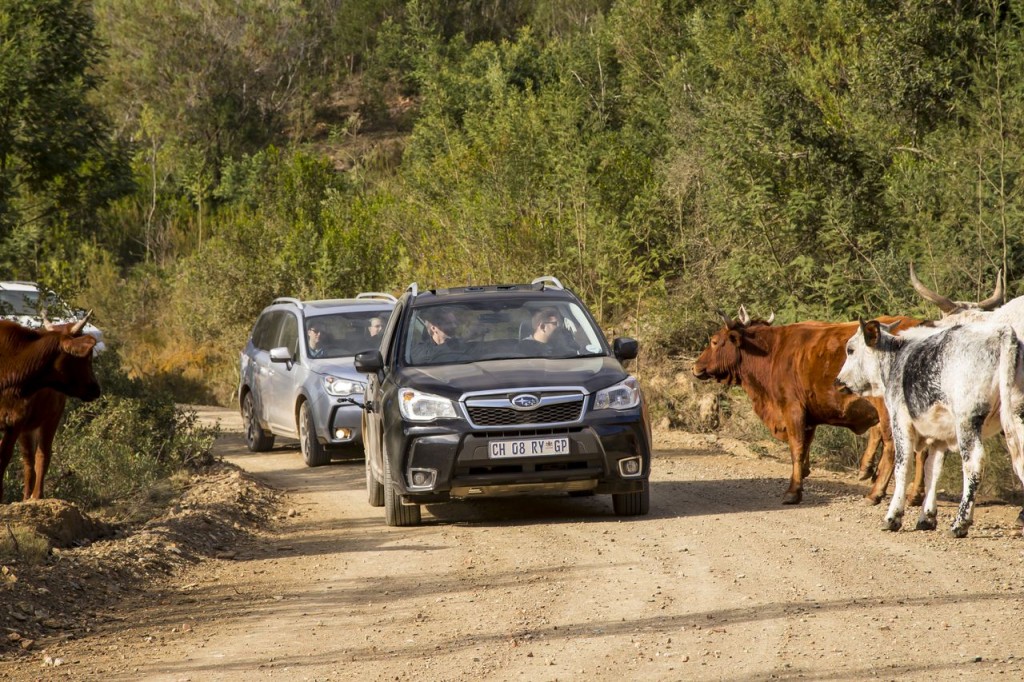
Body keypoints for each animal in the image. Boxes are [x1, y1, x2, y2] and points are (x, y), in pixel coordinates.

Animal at [0, 315, 100, 501]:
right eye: (88, 356)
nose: (96, 388)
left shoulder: (15, 421)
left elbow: (4, 456)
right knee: (29, 460)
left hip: (50, 419)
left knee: (41, 455)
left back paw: (36, 496)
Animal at [692, 311, 925, 501]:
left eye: (714, 341)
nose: (695, 366)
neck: (772, 351)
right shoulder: (809, 417)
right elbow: (805, 447)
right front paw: (803, 474)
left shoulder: (793, 409)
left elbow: (797, 447)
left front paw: (793, 491)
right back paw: (914, 495)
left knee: (893, 447)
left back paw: (876, 493)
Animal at [835, 319, 1024, 536]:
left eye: (850, 350)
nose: (838, 381)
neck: (896, 359)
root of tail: (1001, 331)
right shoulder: (939, 436)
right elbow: (933, 471)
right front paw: (927, 517)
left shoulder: (900, 422)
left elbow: (903, 467)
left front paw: (893, 517)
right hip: (1016, 414)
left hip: (967, 421)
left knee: (973, 464)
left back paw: (960, 523)